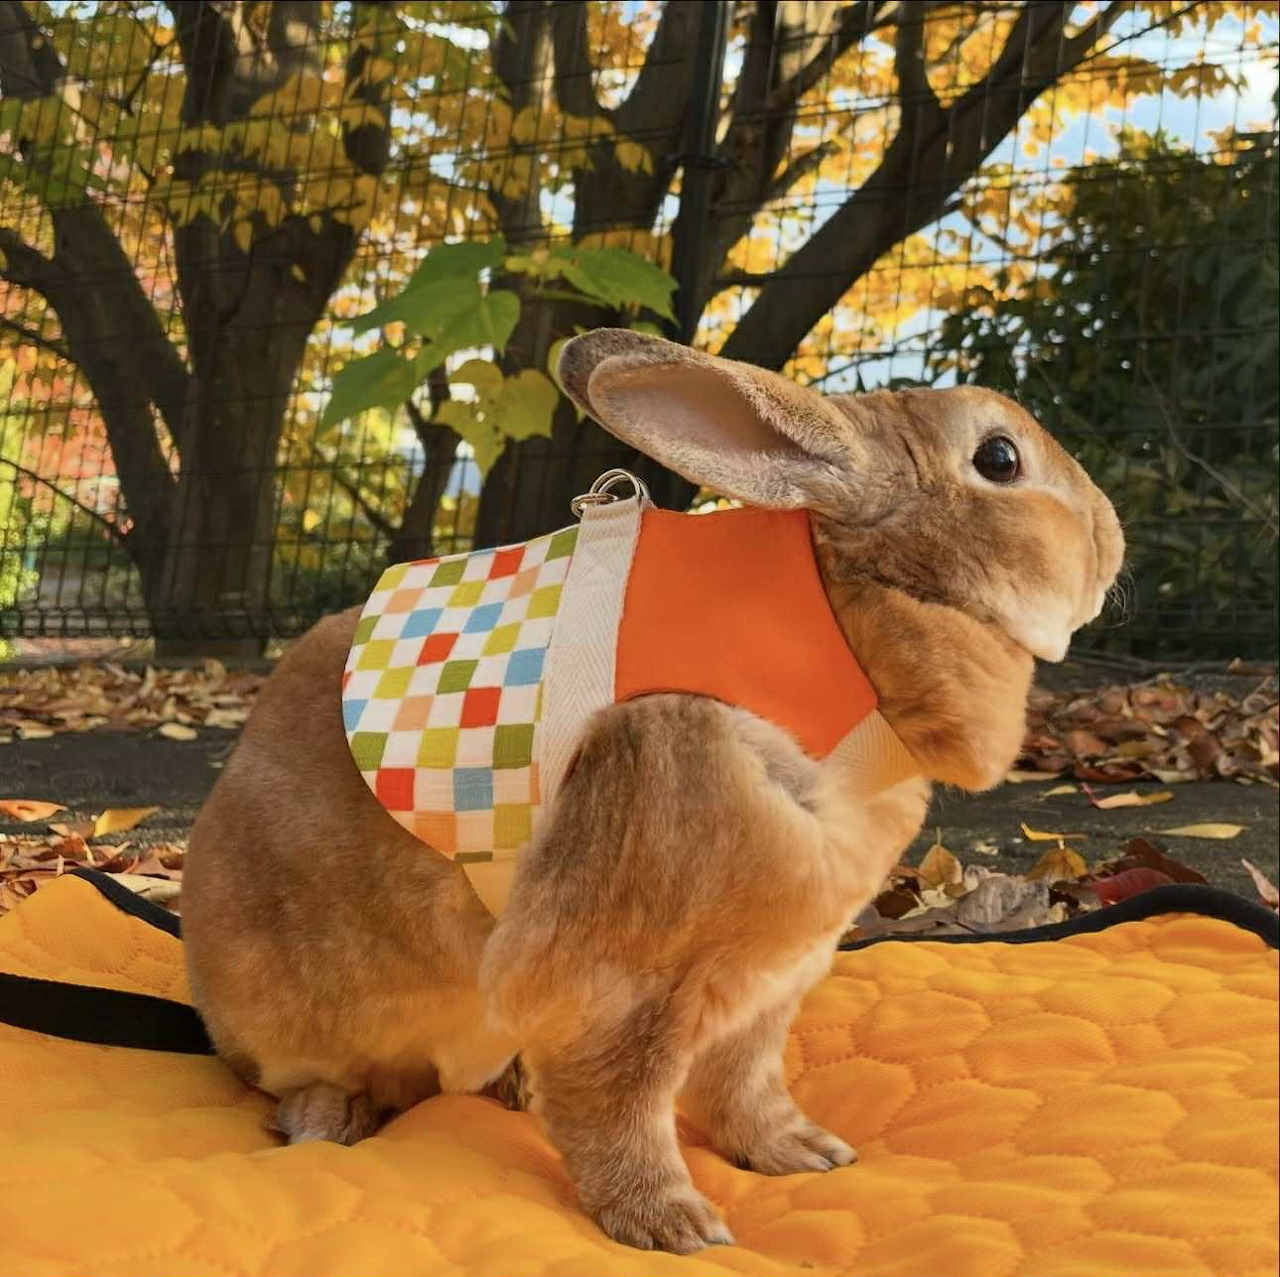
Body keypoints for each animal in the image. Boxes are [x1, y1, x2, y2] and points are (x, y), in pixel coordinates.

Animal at [181, 328, 1124, 1254]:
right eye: (999, 457)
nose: (1113, 531)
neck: (846, 623)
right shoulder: (624, 971)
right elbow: (622, 1098)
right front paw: (671, 1222)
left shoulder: (771, 969)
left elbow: (743, 1078)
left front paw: (799, 1151)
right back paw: (331, 1113)